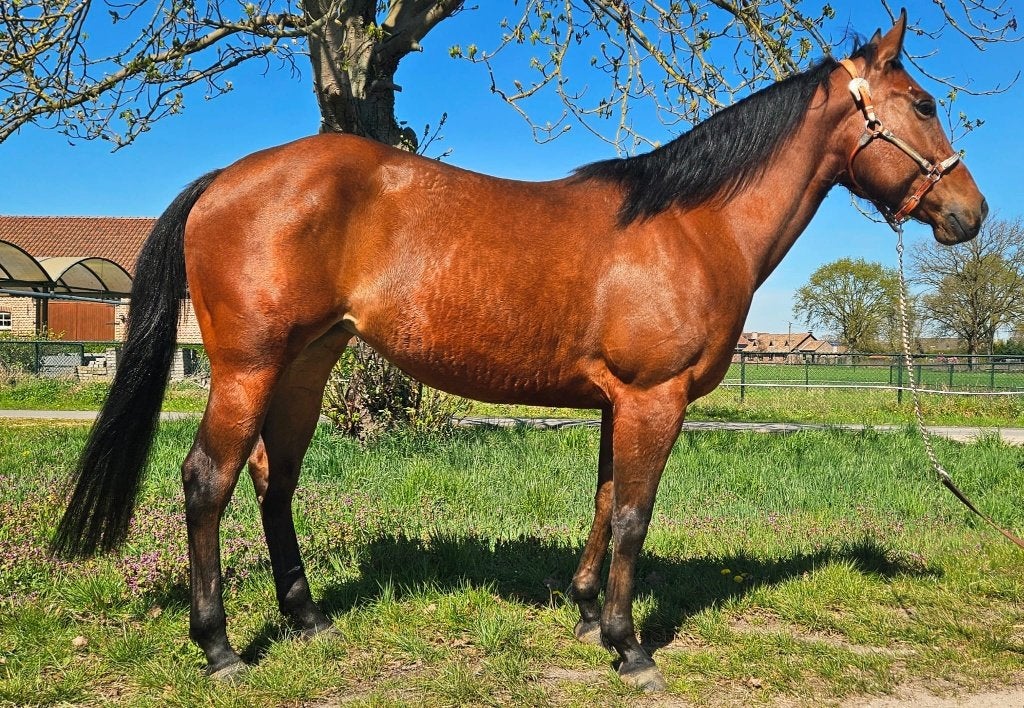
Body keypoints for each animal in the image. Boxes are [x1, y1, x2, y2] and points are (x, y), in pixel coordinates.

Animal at [52, 10, 986, 692]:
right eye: (924, 103)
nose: (969, 215)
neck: (691, 224)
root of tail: (224, 180)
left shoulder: (621, 402)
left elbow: (607, 503)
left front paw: (586, 617)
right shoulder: (655, 398)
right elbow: (636, 516)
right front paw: (631, 649)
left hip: (305, 368)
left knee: (273, 481)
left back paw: (308, 620)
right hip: (248, 368)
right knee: (207, 481)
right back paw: (219, 649)